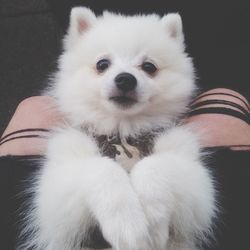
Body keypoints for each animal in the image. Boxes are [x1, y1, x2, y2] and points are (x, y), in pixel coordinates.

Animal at [21, 6, 217, 249]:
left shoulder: (195, 182)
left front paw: (152, 220)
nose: (125, 79)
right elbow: (101, 168)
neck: (124, 133)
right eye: (102, 64)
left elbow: (156, 165)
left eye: (149, 67)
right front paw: (126, 225)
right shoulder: (55, 198)